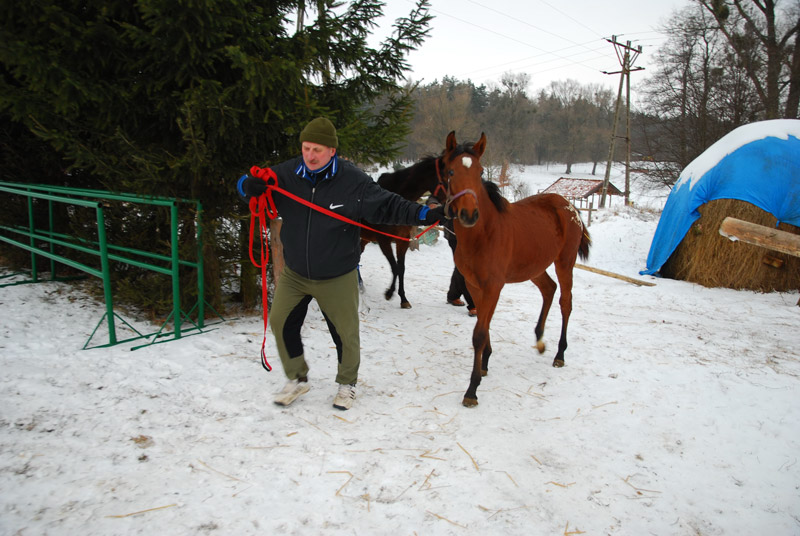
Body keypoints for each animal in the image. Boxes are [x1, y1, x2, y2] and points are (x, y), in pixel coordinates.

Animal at [360, 157, 444, 308]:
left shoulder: (402, 240)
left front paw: (403, 298)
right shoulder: (384, 241)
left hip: (365, 238)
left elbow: (401, 269)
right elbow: (395, 267)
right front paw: (389, 293)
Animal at [438, 132, 588, 408]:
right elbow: (484, 325)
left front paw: (472, 389)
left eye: (480, 171)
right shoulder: (474, 285)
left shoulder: (493, 287)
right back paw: (539, 341)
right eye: (451, 171)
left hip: (565, 262)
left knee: (566, 302)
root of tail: (568, 205)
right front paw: (485, 364)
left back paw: (560, 354)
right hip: (535, 267)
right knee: (549, 289)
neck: (484, 234)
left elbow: (479, 333)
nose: (469, 214)